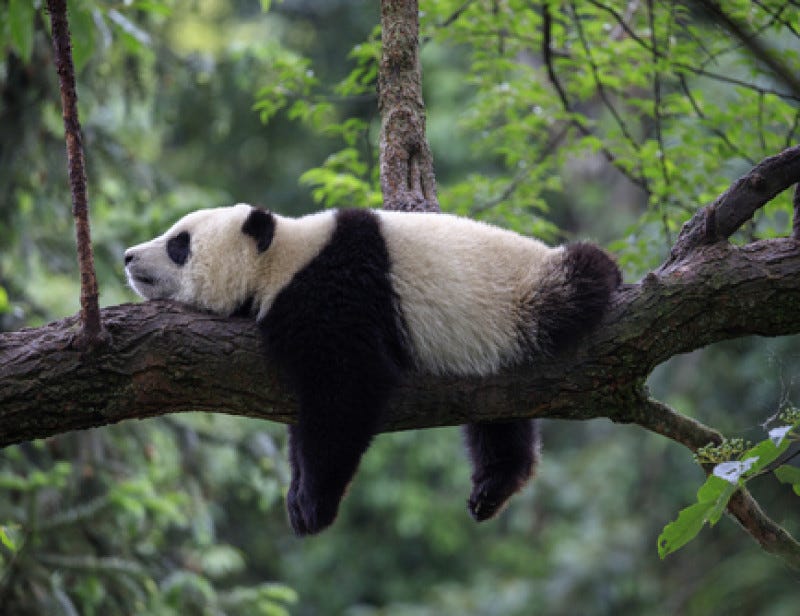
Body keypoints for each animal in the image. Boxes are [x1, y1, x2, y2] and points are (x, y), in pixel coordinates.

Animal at [124, 203, 620, 535]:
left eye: (179, 244)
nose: (128, 256)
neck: (282, 258)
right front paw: (297, 494)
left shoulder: (337, 294)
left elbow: (346, 392)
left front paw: (313, 504)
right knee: (499, 418)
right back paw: (494, 486)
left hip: (526, 296)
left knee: (580, 278)